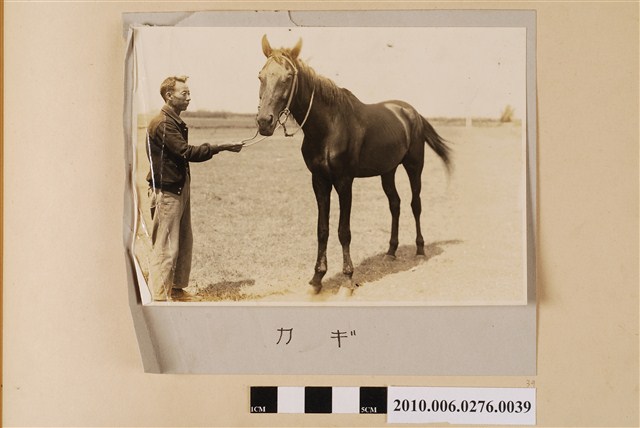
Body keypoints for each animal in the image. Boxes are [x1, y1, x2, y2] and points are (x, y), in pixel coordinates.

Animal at [256, 35, 451, 294]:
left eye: (288, 76)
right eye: (260, 76)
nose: (264, 122)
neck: (328, 127)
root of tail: (413, 113)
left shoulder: (344, 182)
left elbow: (343, 231)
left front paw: (348, 278)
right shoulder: (319, 181)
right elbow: (322, 230)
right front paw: (317, 278)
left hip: (414, 167)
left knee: (415, 204)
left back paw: (420, 249)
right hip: (388, 171)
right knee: (395, 204)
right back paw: (391, 251)